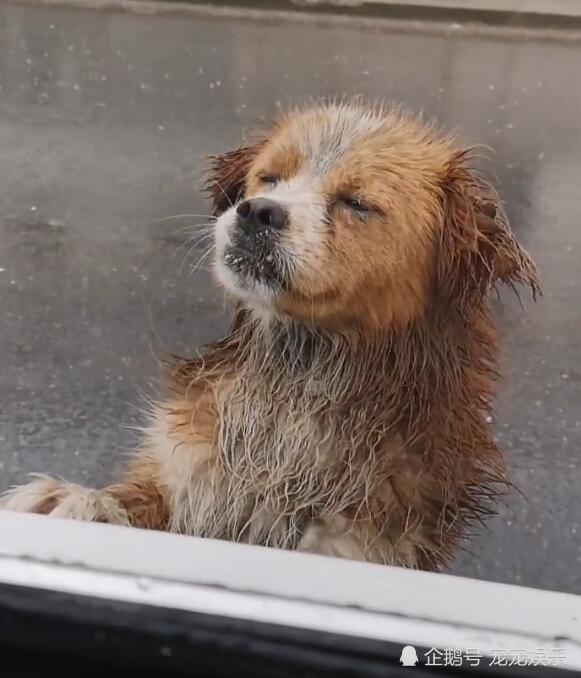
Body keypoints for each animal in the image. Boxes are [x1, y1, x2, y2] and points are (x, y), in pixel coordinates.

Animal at [1, 102, 540, 568]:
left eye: (357, 203)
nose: (258, 211)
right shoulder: (184, 472)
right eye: (270, 178)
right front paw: (78, 502)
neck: (295, 380)